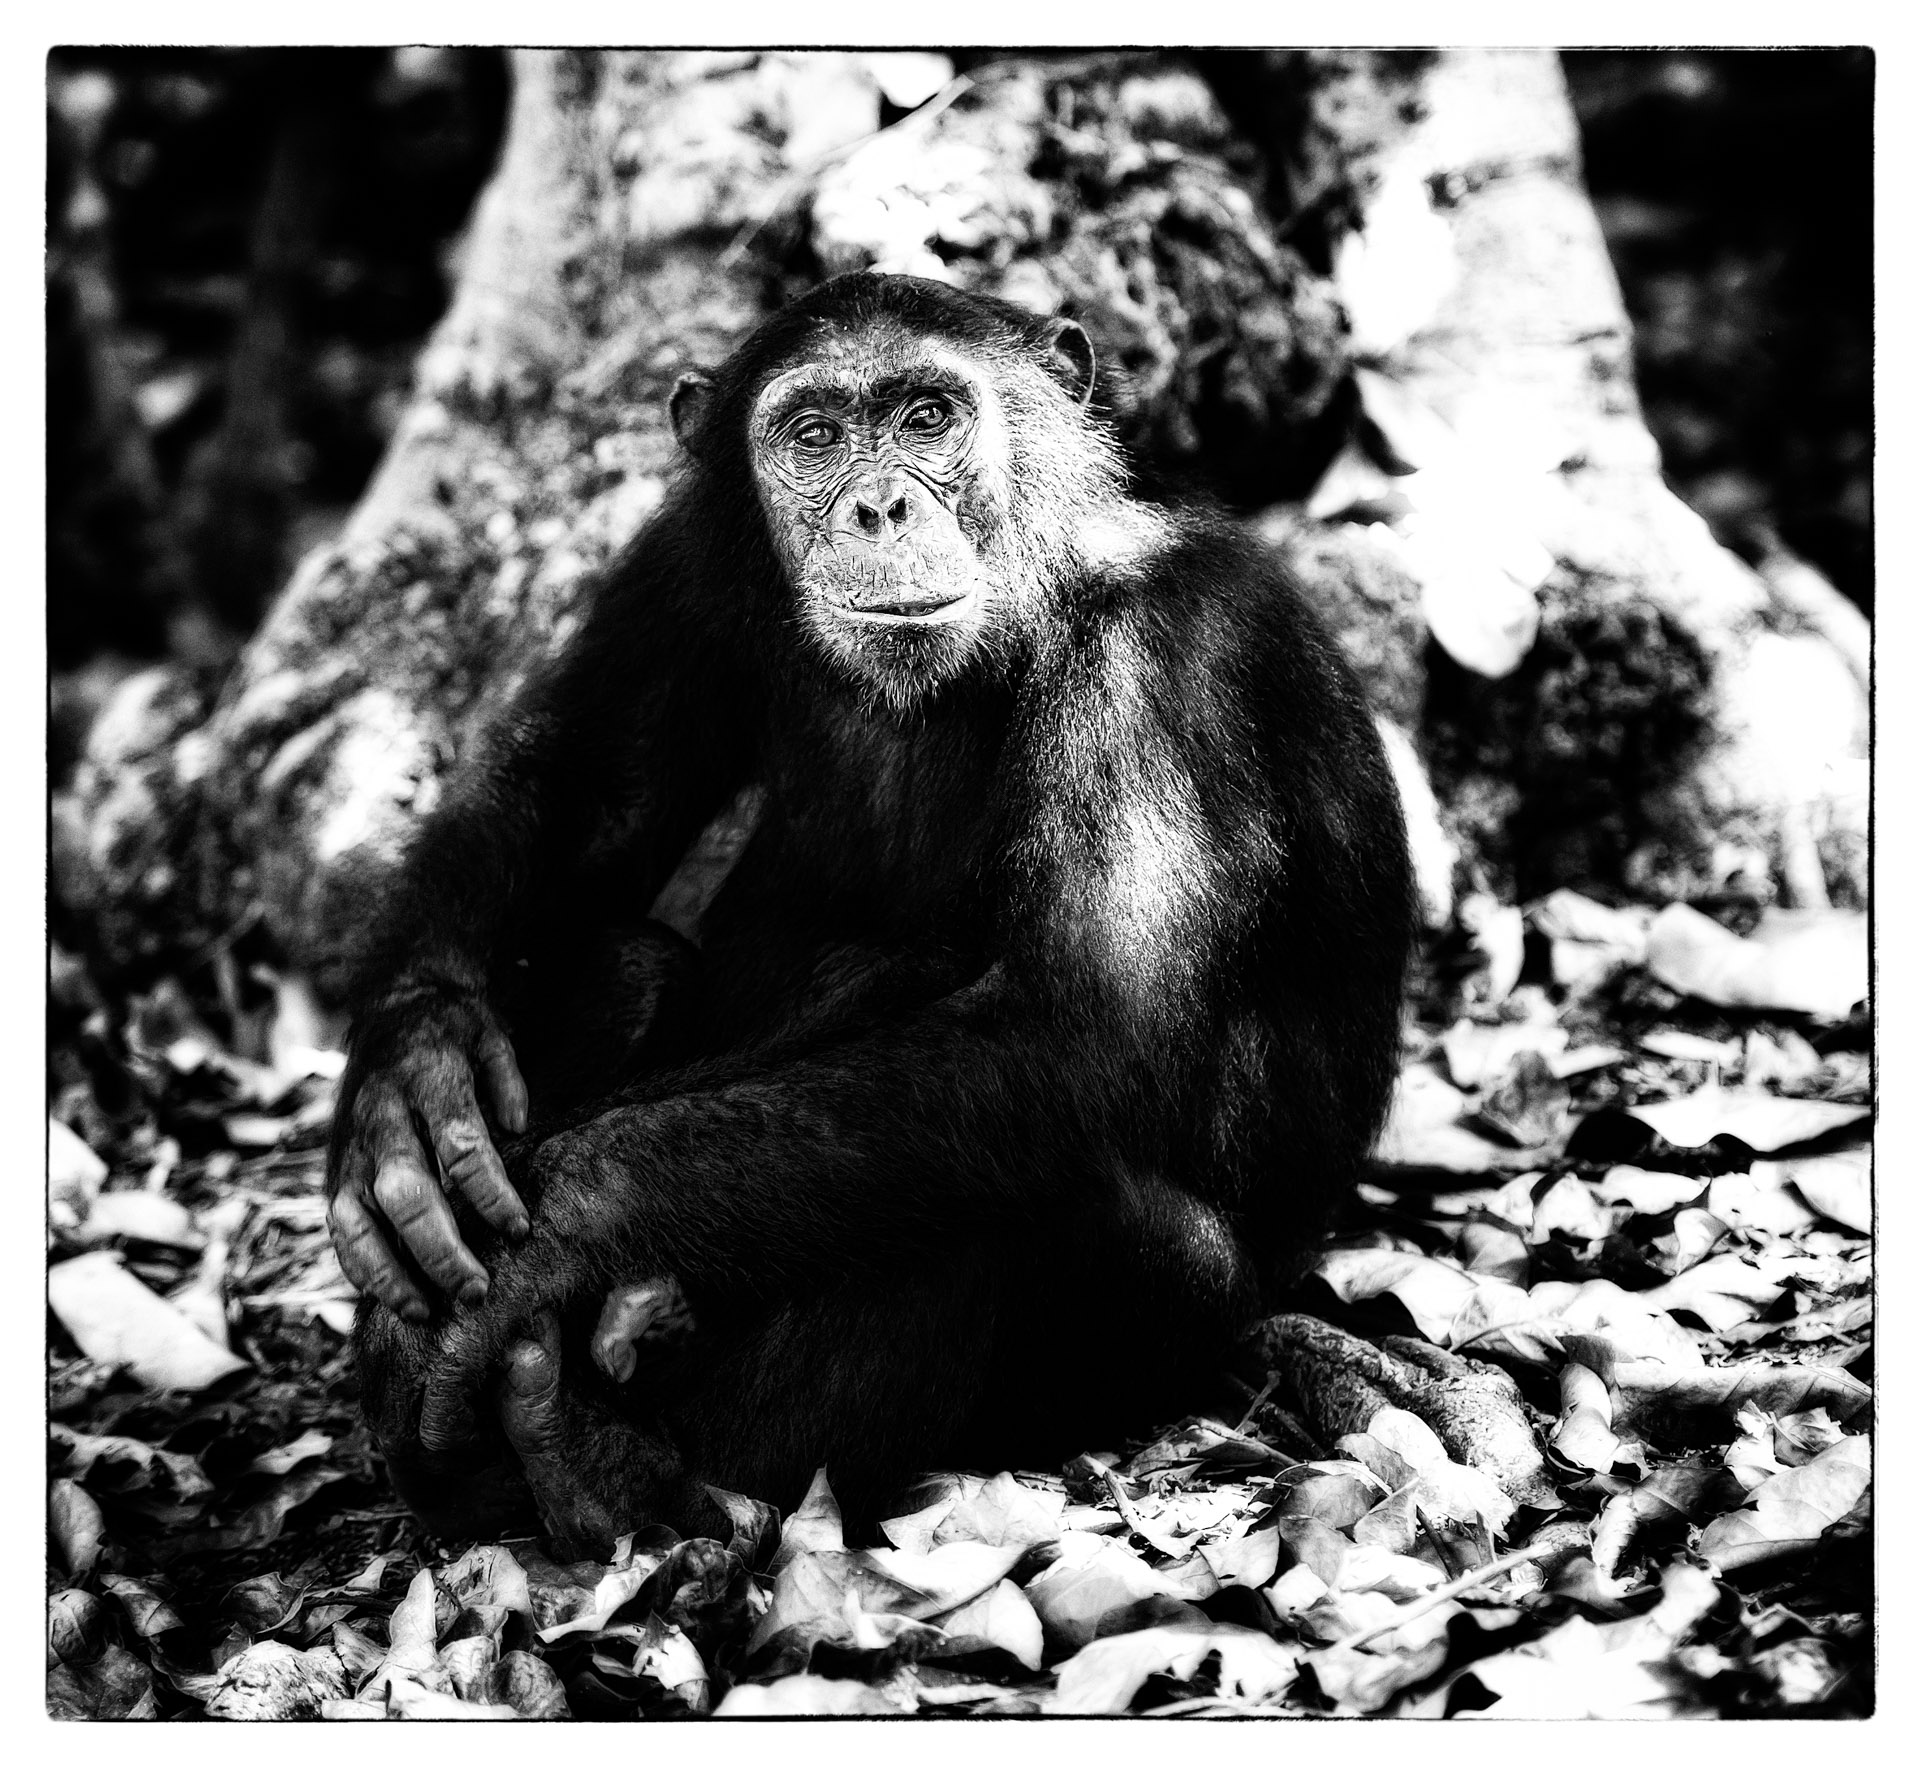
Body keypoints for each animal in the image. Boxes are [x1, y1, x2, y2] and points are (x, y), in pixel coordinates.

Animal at [326, 271, 1415, 1555]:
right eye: (814, 436)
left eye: (928, 417)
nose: (881, 505)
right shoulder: (680, 565)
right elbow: (581, 788)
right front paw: (411, 1087)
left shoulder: (1164, 655)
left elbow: (1077, 1022)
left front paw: (542, 1236)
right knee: (623, 957)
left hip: (1176, 1320)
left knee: (1002, 1184)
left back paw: (621, 1467)